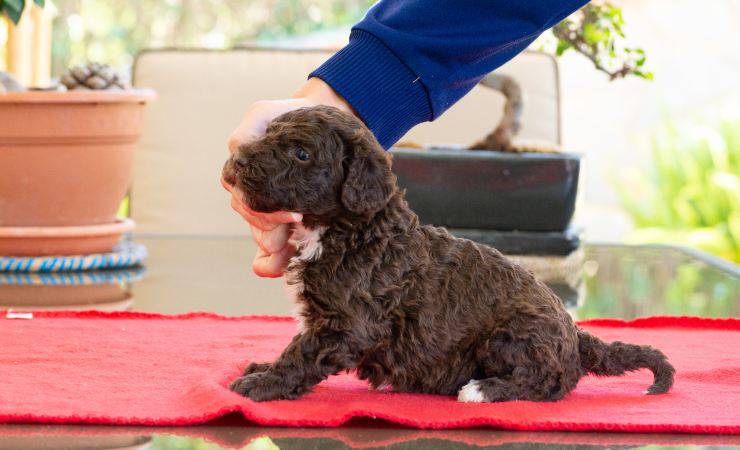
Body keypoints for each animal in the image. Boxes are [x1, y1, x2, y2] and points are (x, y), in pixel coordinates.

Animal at [221, 106, 676, 404]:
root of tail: (576, 335)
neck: (349, 229)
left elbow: (302, 351)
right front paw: (263, 368)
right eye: (269, 132)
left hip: (512, 334)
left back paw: (483, 389)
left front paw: (265, 383)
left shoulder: (347, 324)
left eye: (301, 154)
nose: (237, 160)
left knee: (549, 382)